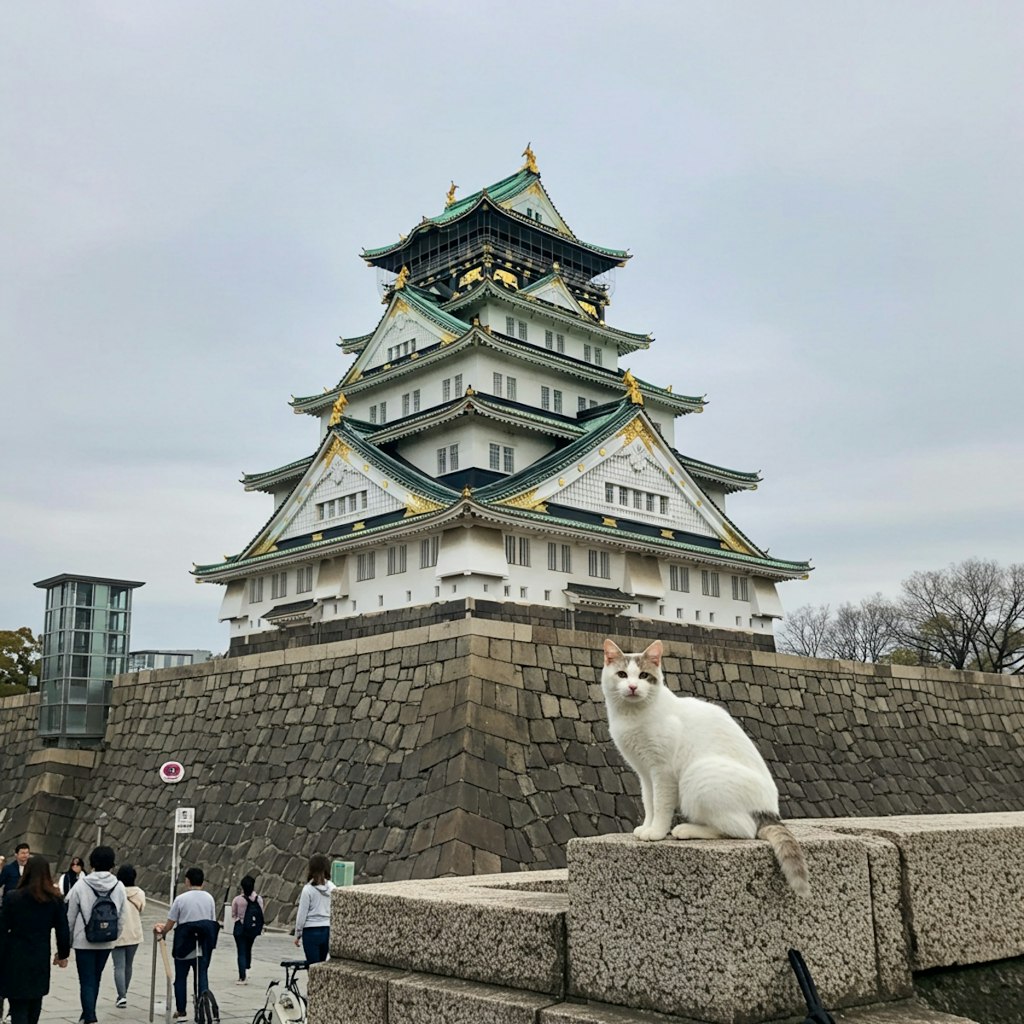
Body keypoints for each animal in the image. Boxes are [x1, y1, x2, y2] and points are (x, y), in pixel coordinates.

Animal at [598, 638, 806, 897]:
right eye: (622, 674)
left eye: (644, 675)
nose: (634, 687)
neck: (632, 716)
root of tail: (770, 812)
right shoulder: (644, 773)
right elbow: (649, 803)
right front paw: (646, 826)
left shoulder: (662, 771)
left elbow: (661, 804)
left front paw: (657, 832)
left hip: (698, 775)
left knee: (743, 830)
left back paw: (686, 829)